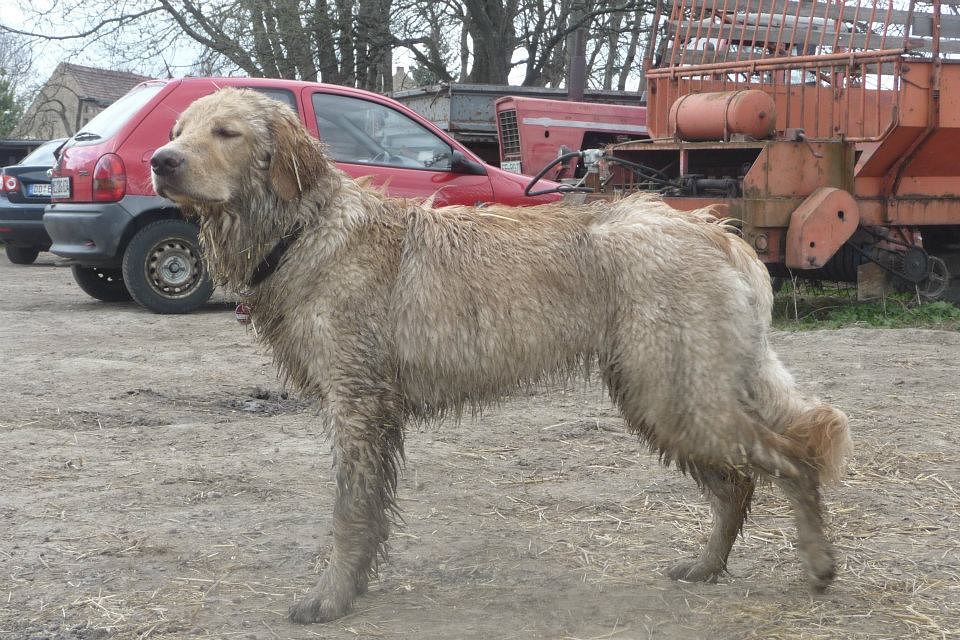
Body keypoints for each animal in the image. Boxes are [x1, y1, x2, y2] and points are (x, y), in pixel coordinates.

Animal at [150, 88, 851, 623]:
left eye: (226, 132)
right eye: (178, 130)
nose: (160, 161)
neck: (303, 231)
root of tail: (713, 230)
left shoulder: (357, 404)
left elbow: (349, 513)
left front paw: (331, 598)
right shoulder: (371, 414)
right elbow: (371, 513)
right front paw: (357, 585)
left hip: (675, 394)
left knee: (792, 458)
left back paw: (818, 566)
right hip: (662, 396)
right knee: (738, 483)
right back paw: (707, 566)